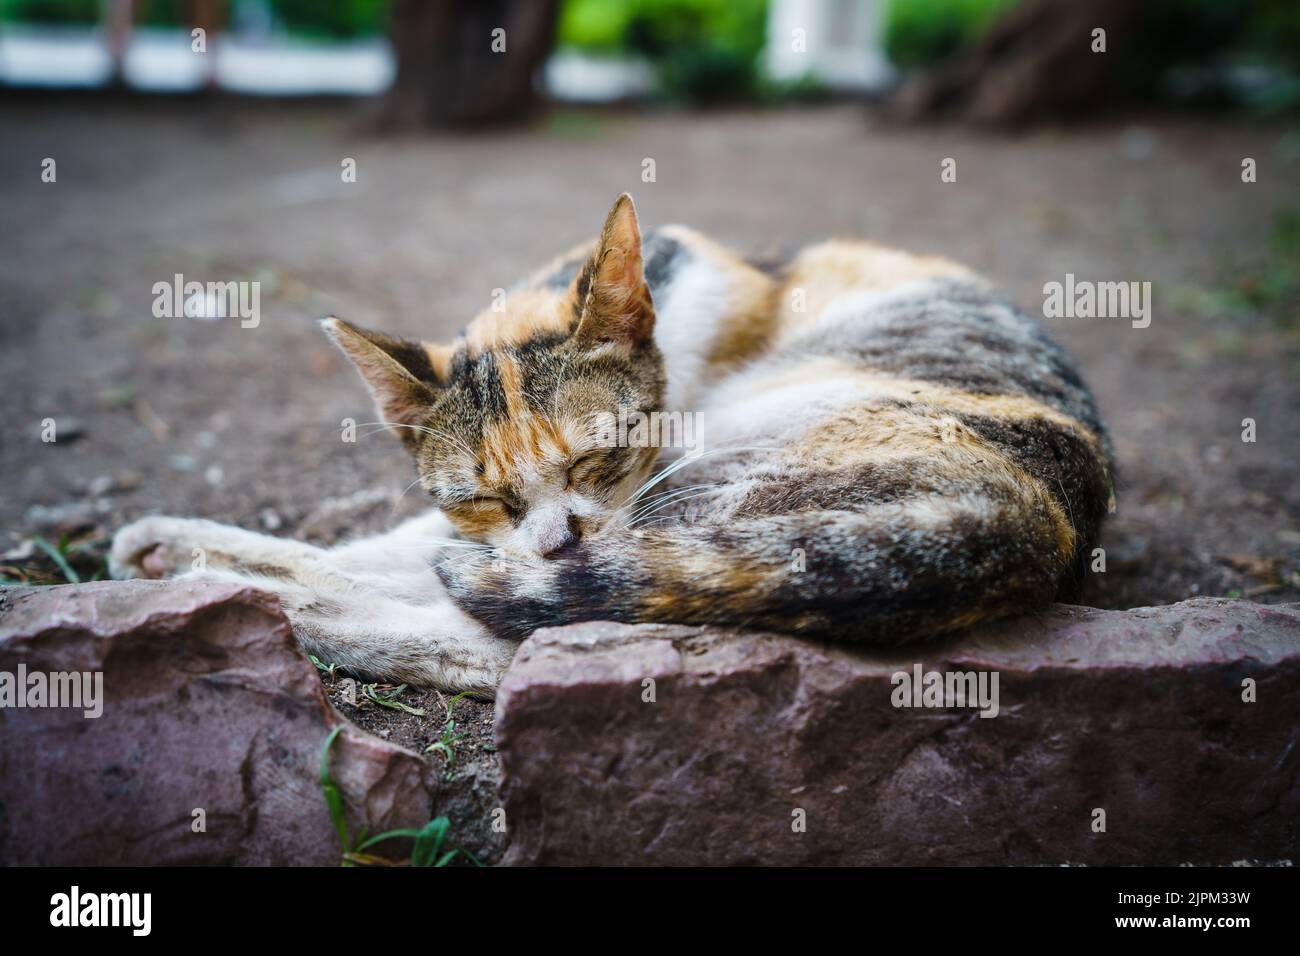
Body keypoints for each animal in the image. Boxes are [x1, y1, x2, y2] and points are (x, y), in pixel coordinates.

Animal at [106, 195, 1112, 697]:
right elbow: (388, 543)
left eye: (597, 457)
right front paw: (170, 545)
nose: (556, 539)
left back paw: (272, 611)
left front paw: (209, 570)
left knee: (536, 637)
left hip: (729, 473)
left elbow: (421, 569)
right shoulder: (490, 533)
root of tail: (1046, 518)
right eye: (486, 494)